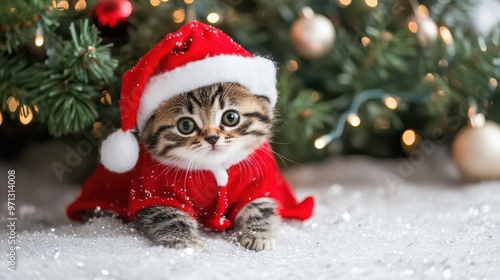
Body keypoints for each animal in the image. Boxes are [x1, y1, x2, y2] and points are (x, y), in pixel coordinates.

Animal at [135, 82, 280, 250]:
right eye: (186, 125)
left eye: (230, 118)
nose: (212, 138)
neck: (215, 166)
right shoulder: (155, 191)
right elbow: (168, 216)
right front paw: (185, 240)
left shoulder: (257, 181)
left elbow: (261, 207)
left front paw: (258, 235)